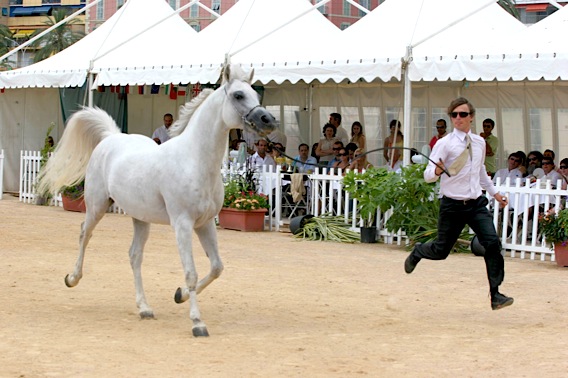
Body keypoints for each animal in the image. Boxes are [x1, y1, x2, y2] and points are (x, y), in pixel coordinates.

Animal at [37, 64, 278, 336]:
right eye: (238, 95)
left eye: (256, 94)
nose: (268, 121)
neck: (194, 160)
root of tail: (110, 137)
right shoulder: (182, 224)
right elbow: (191, 272)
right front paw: (197, 322)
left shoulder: (205, 223)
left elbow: (216, 267)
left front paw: (179, 295)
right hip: (97, 206)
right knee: (84, 235)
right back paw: (72, 278)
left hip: (140, 217)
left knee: (134, 255)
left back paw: (144, 308)